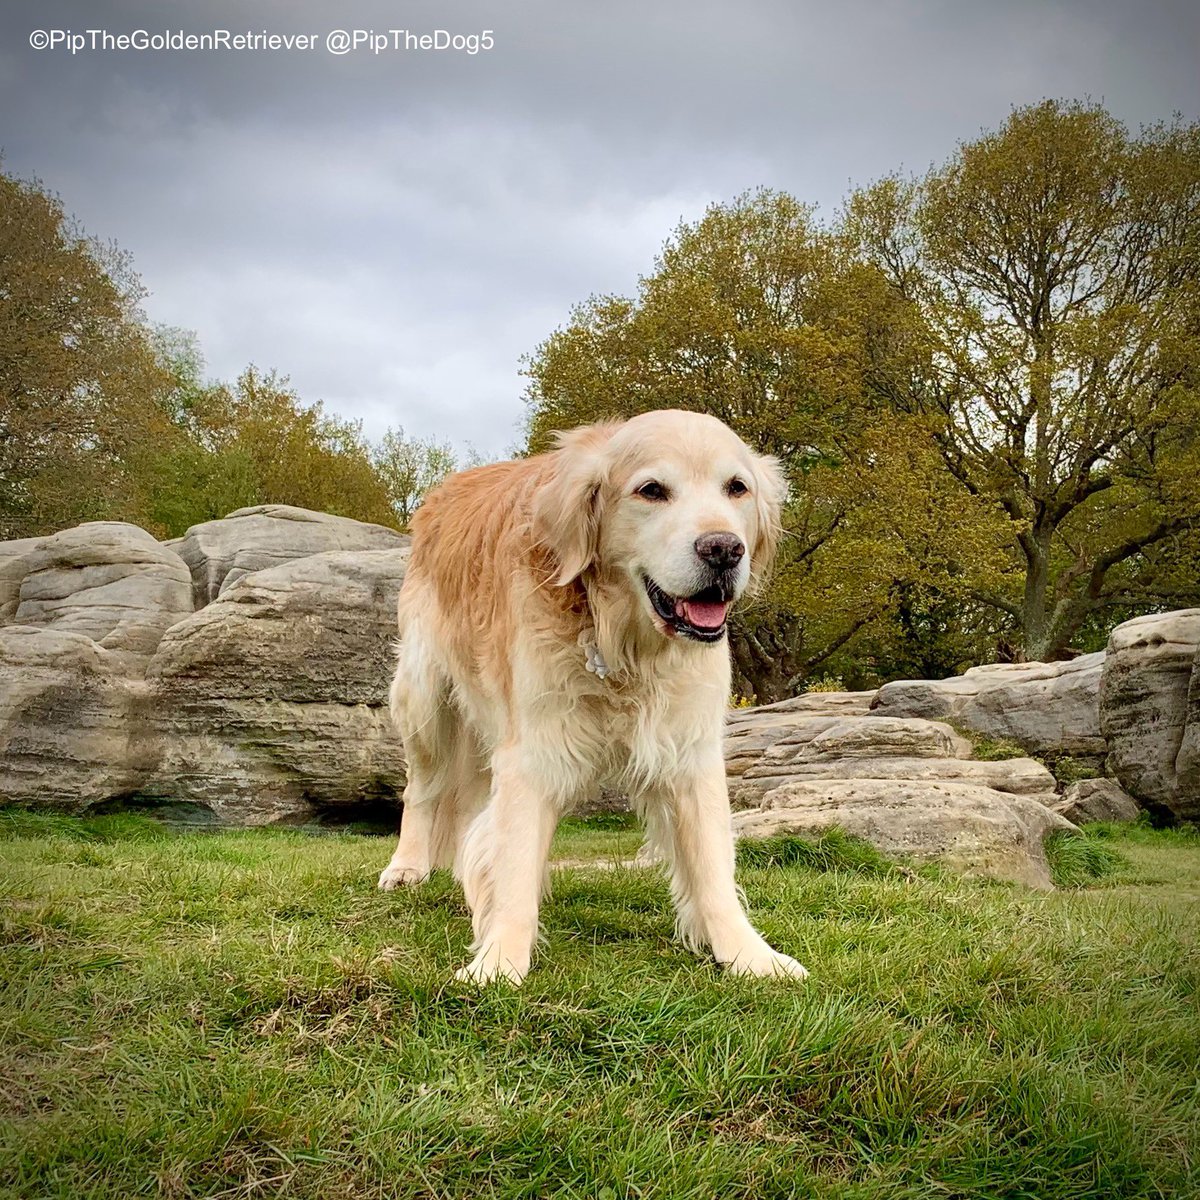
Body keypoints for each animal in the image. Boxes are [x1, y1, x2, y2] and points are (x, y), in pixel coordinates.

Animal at [374, 410, 806, 984]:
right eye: (651, 490)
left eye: (736, 488)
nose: (724, 549)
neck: (621, 643)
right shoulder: (533, 750)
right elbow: (515, 863)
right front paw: (500, 961)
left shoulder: (689, 748)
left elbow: (713, 867)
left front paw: (750, 955)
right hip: (424, 697)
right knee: (421, 790)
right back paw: (407, 867)